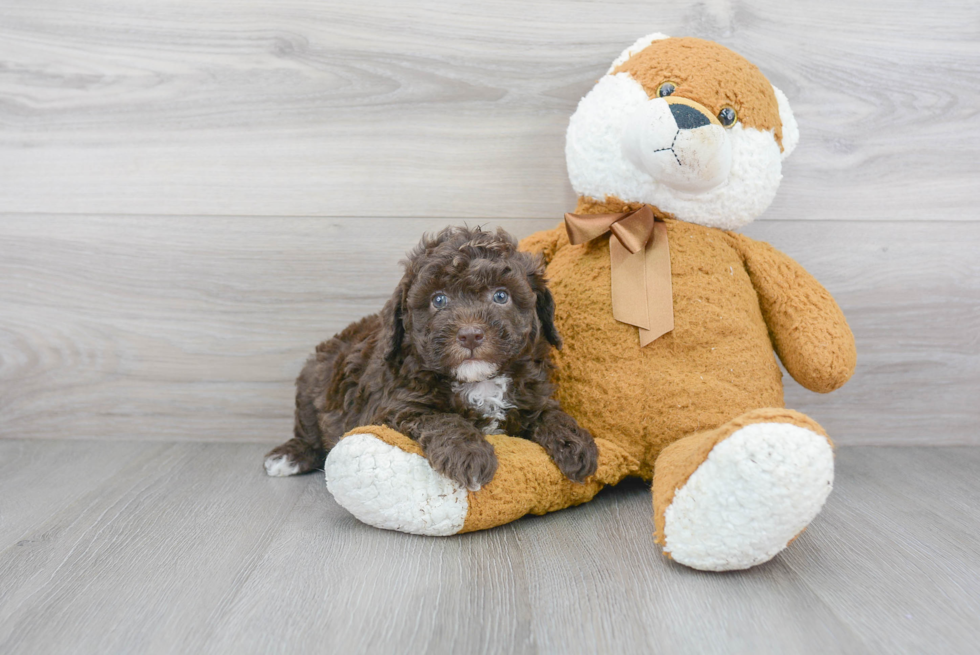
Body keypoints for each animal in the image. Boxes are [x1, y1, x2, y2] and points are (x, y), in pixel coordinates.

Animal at [264, 226, 596, 486]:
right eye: (439, 300)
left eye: (501, 295)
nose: (470, 335)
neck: (479, 381)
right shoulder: (395, 408)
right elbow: (442, 419)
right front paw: (469, 455)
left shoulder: (533, 394)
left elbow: (550, 413)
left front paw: (576, 443)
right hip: (312, 381)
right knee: (308, 431)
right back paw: (288, 456)